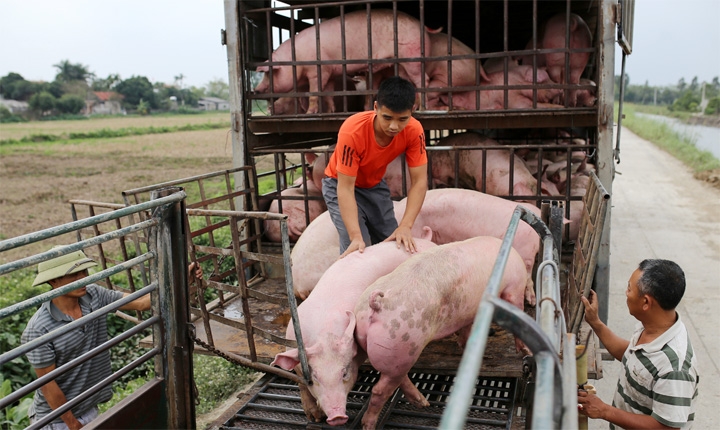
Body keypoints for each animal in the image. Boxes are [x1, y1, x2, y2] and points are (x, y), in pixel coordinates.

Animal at [255, 10, 434, 114]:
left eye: (268, 74)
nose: (256, 90)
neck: (296, 59)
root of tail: (422, 26)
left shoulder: (317, 71)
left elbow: (314, 93)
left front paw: (309, 114)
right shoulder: (329, 72)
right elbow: (328, 94)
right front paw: (331, 113)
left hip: (413, 58)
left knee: (423, 80)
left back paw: (422, 108)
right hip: (403, 65)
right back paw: (415, 107)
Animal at [272, 235, 436, 426]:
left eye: (344, 373)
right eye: (315, 378)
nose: (337, 417)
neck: (324, 335)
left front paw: (423, 404)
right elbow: (301, 384)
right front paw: (315, 418)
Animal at [354, 237, 528, 428]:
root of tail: (377, 304)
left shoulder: (470, 311)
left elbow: (467, 329)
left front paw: (464, 345)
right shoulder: (515, 285)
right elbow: (516, 308)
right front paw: (525, 350)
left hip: (394, 353)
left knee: (398, 378)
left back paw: (423, 402)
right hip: (401, 342)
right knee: (379, 390)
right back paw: (369, 424)